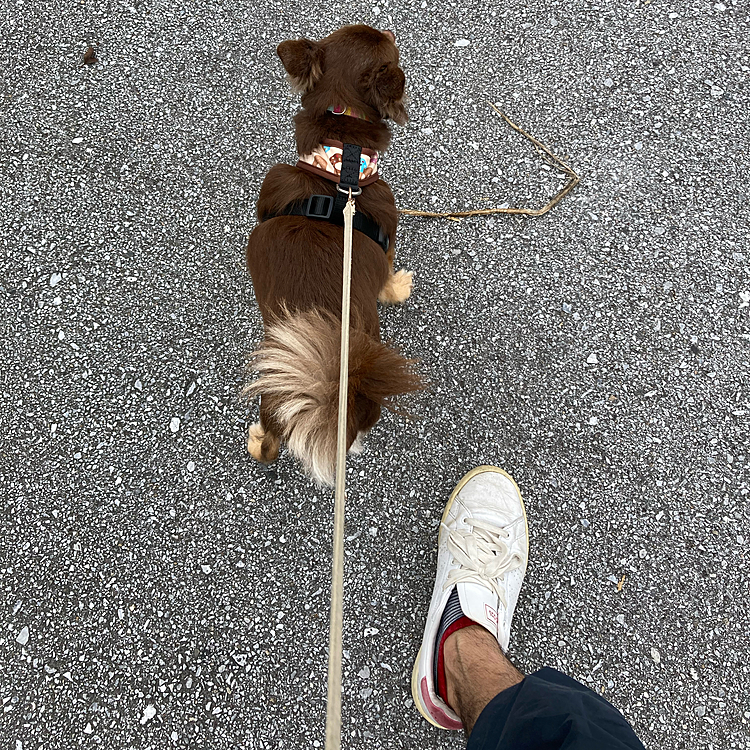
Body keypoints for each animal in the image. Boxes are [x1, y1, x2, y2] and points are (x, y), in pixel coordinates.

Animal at [245, 25, 424, 488]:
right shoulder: (389, 237)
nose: (390, 25)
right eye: (389, 45)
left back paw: (257, 439)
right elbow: (389, 281)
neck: (337, 169)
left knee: (267, 447)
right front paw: (399, 288)